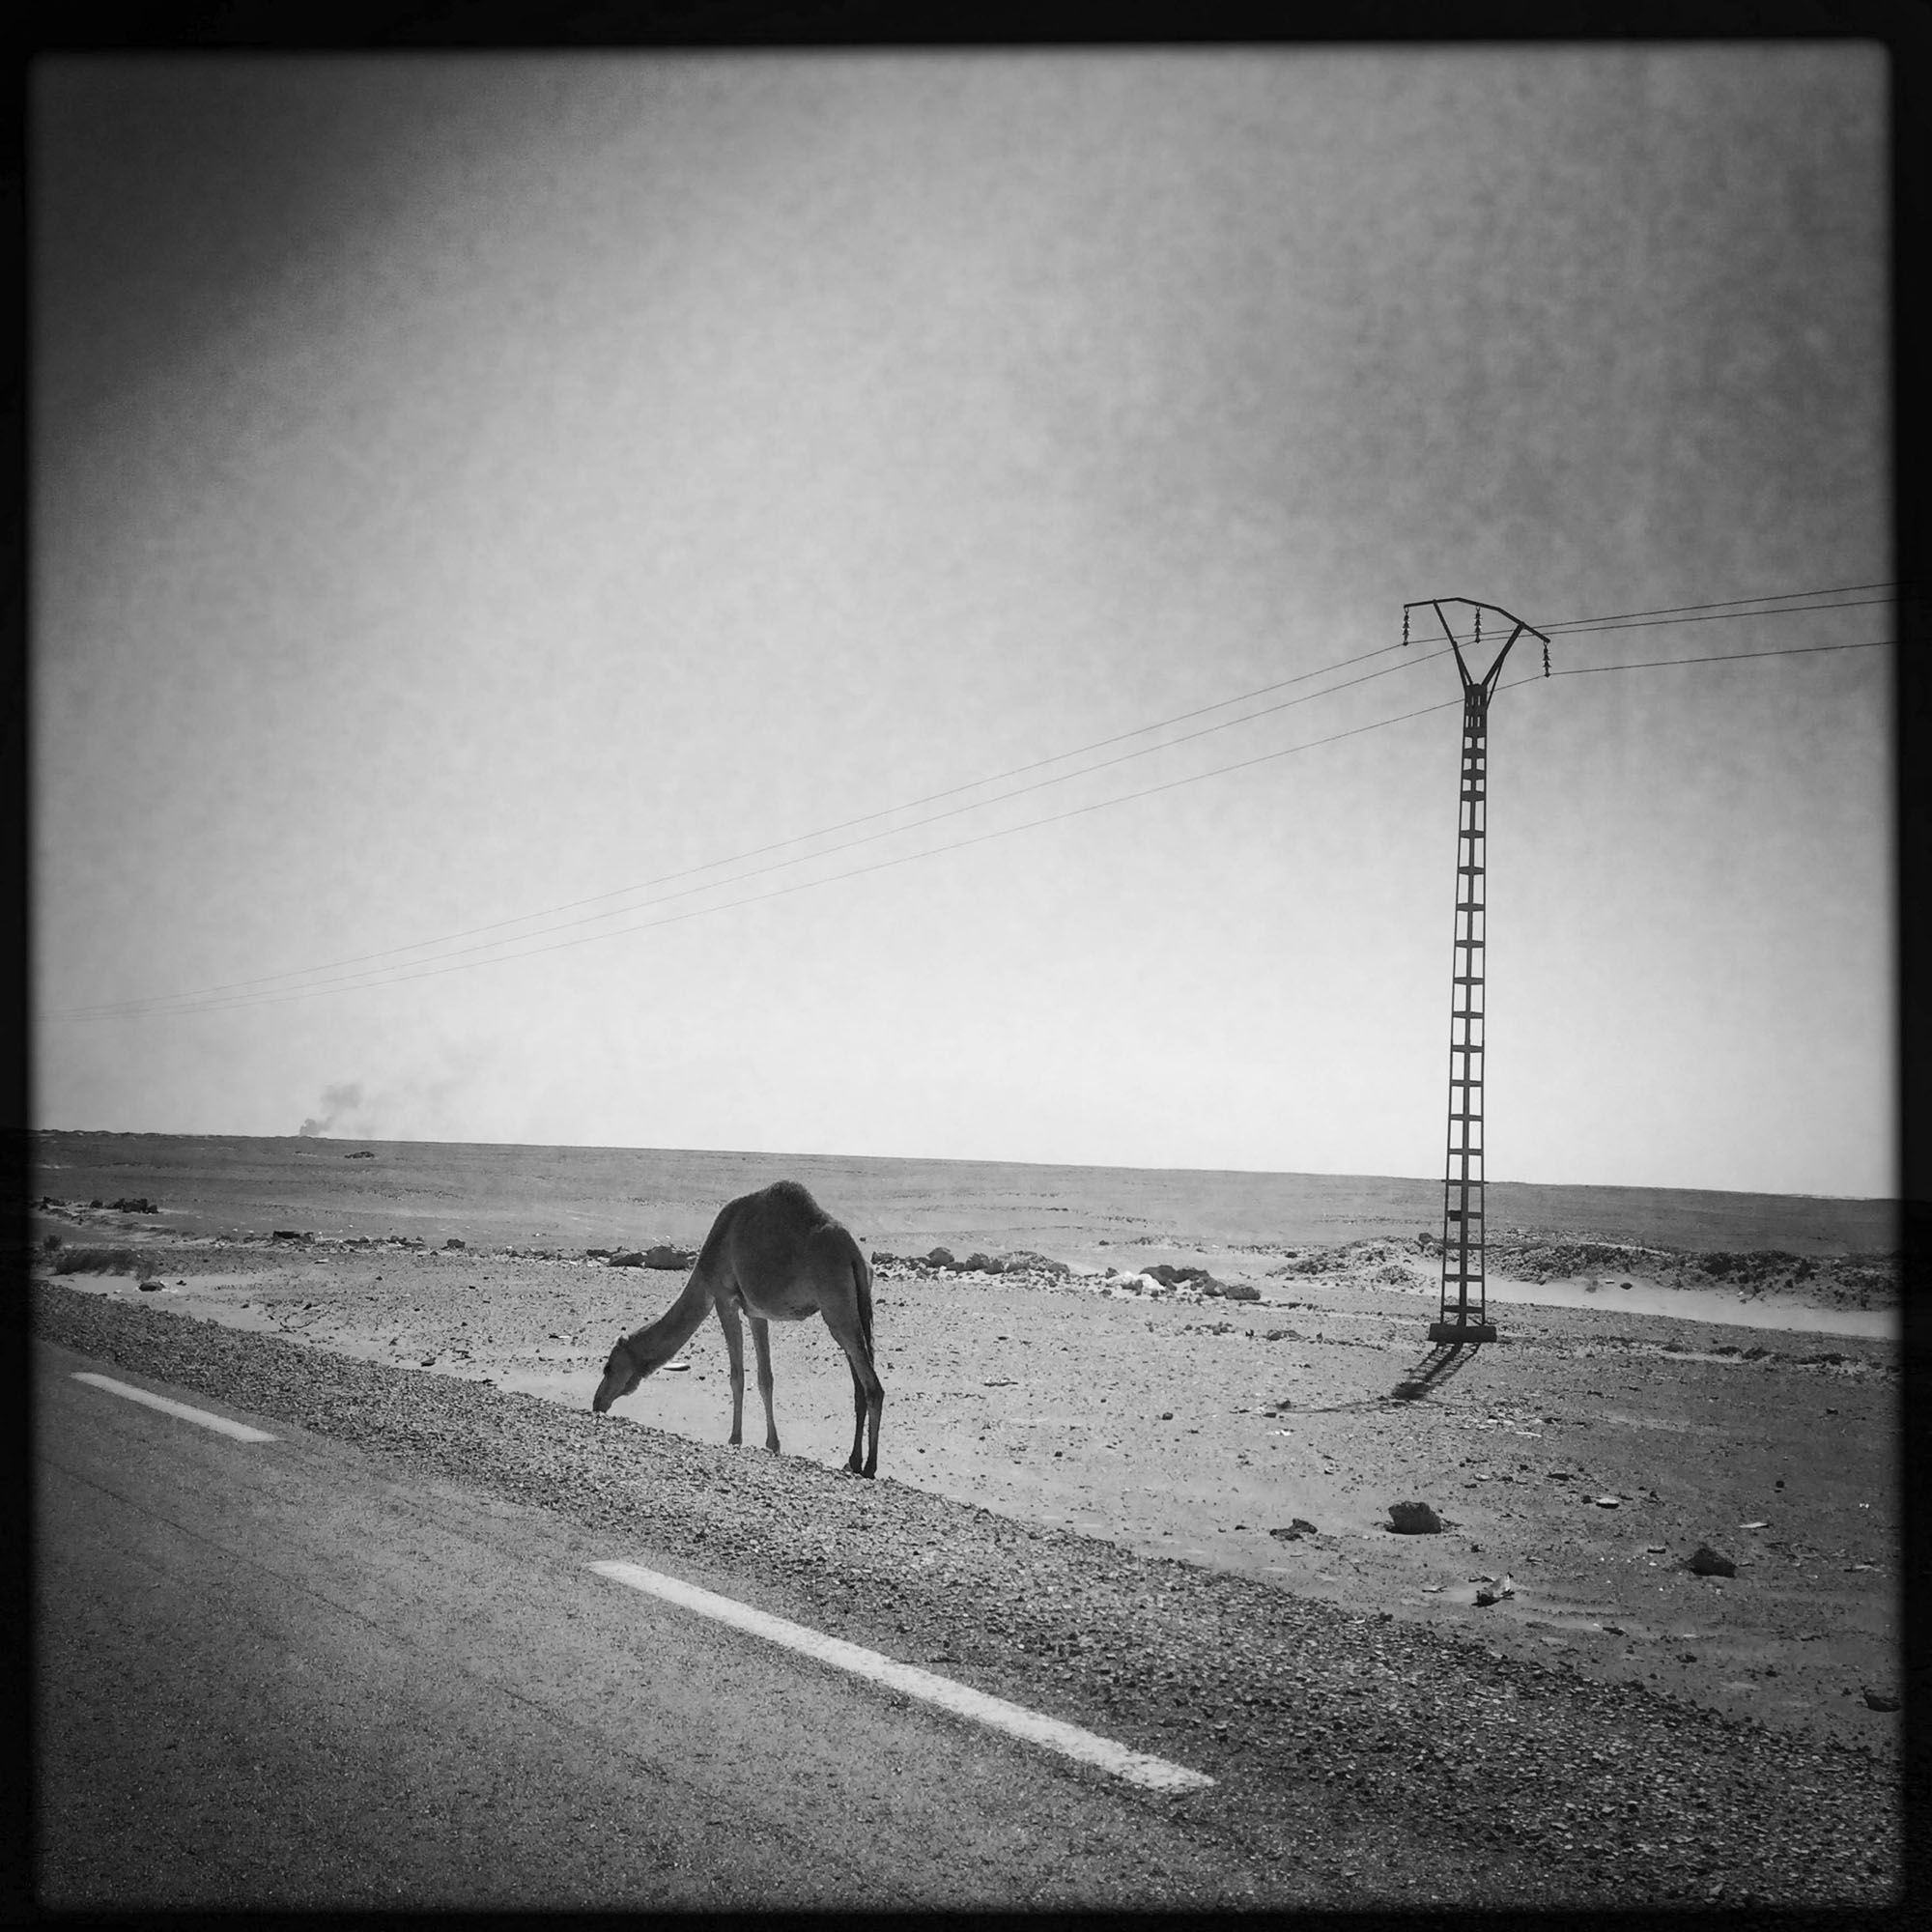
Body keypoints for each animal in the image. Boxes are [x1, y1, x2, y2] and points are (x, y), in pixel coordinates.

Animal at [591, 1175, 885, 1476]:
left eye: (608, 1367)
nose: (597, 1403)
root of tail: (854, 1255)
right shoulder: (756, 1312)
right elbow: (765, 1378)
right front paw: (772, 1444)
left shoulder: (724, 1299)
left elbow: (737, 1376)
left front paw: (734, 1438)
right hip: (854, 1306)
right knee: (859, 1384)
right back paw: (852, 1461)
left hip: (836, 1306)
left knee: (872, 1385)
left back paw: (870, 1466)